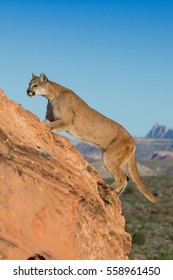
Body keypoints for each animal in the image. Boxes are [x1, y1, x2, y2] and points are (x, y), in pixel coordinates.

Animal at [27, 72, 158, 203]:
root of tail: (132, 140)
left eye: (35, 85)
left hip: (109, 158)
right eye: (29, 84)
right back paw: (116, 194)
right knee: (126, 178)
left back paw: (110, 189)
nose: (27, 91)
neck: (51, 96)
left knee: (123, 177)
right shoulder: (50, 117)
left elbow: (49, 126)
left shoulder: (67, 122)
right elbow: (44, 123)